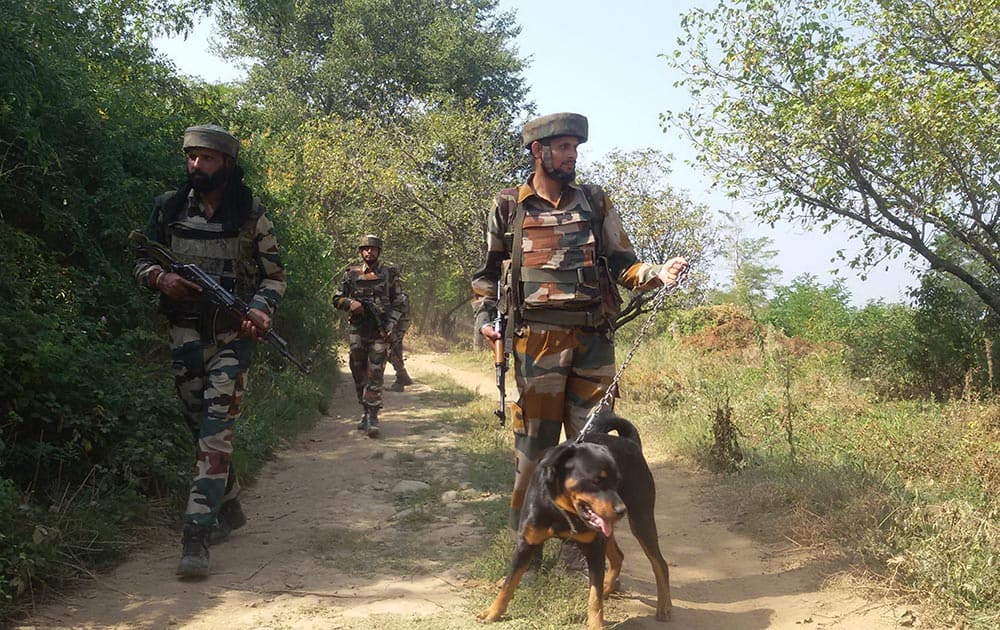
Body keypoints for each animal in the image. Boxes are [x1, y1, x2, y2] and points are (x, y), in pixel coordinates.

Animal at [476, 412, 672, 628]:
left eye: (617, 480)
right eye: (596, 481)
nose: (622, 510)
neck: (561, 509)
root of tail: (631, 441)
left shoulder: (594, 548)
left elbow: (594, 597)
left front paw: (596, 624)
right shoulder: (526, 543)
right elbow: (509, 583)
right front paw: (493, 612)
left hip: (641, 519)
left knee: (660, 564)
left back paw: (664, 606)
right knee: (618, 556)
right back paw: (608, 587)